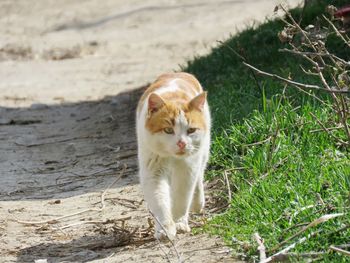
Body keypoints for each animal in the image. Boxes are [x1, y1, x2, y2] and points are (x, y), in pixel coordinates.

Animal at [135, 72, 209, 241]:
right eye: (168, 130)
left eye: (191, 130)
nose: (181, 143)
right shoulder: (153, 170)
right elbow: (159, 200)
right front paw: (165, 228)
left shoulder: (188, 168)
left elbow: (182, 197)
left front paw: (179, 222)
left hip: (203, 150)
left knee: (199, 176)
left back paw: (198, 203)